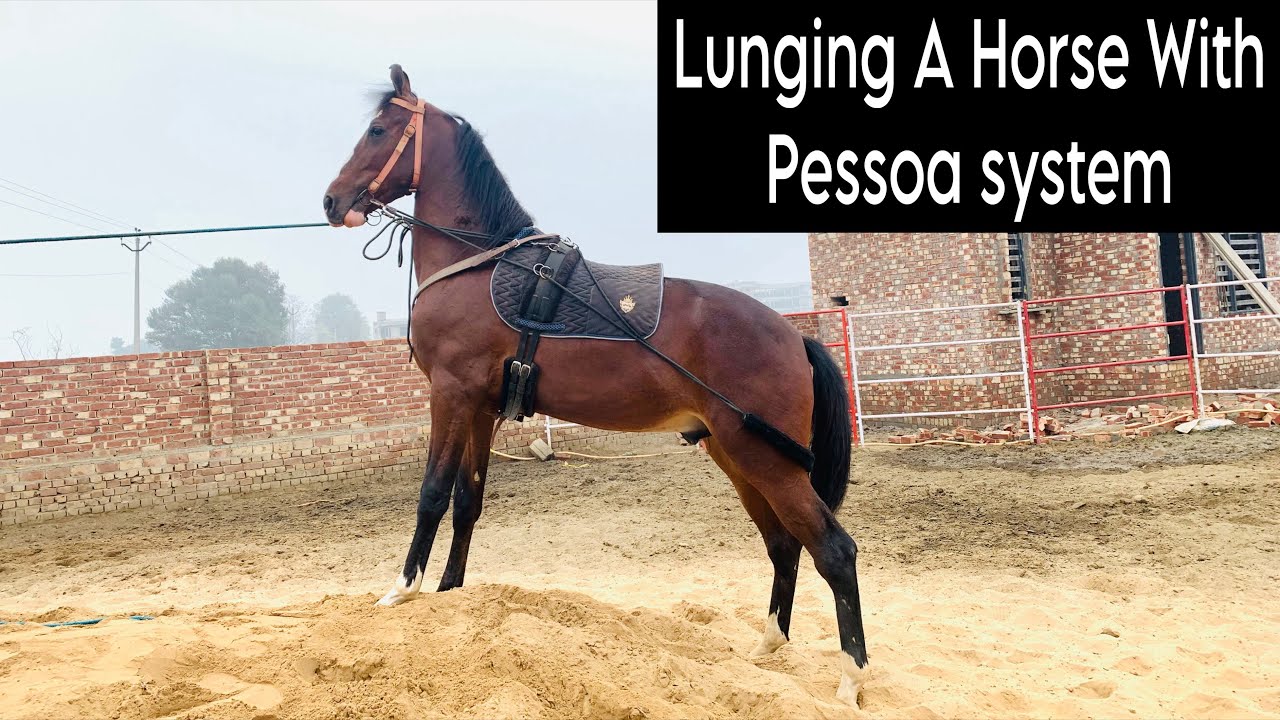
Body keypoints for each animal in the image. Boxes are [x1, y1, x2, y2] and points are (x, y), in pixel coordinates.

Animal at [321, 64, 870, 708]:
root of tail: (793, 336)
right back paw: (765, 647)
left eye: (378, 130)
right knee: (784, 544)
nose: (331, 201)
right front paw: (450, 594)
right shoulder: (480, 410)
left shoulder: (450, 396)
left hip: (767, 461)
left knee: (834, 551)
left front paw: (402, 589)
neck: (481, 266)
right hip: (738, 456)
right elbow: (466, 503)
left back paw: (850, 680)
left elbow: (431, 493)